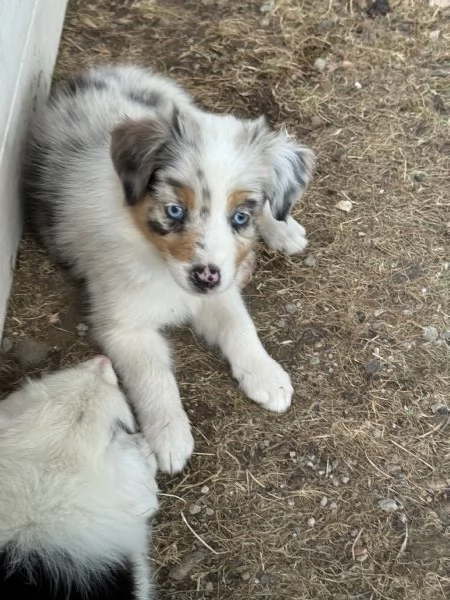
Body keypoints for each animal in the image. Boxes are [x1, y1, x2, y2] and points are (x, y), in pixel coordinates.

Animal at [22, 63, 314, 472]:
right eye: (174, 210)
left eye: (240, 217)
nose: (205, 278)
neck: (160, 263)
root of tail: (106, 71)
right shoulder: (124, 327)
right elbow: (153, 377)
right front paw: (169, 438)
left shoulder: (219, 291)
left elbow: (240, 327)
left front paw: (266, 375)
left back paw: (284, 229)